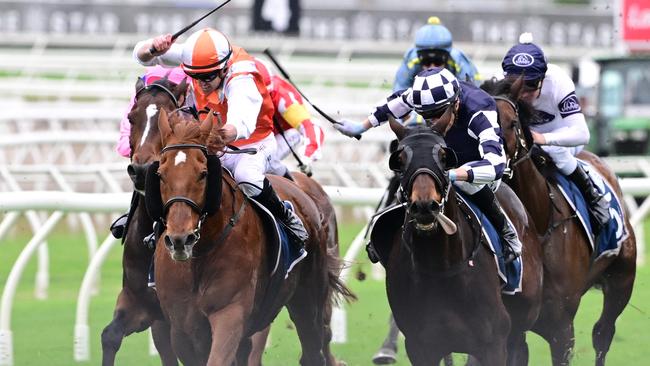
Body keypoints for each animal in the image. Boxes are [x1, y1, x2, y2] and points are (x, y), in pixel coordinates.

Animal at [380, 118, 540, 364]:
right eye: (400, 159)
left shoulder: (493, 344)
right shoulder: (420, 347)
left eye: (444, 157)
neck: (440, 267)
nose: (425, 206)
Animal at [484, 78, 636, 366]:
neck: (538, 225)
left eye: (511, 122)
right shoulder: (512, 327)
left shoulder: (562, 329)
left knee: (603, 333)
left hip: (622, 279)